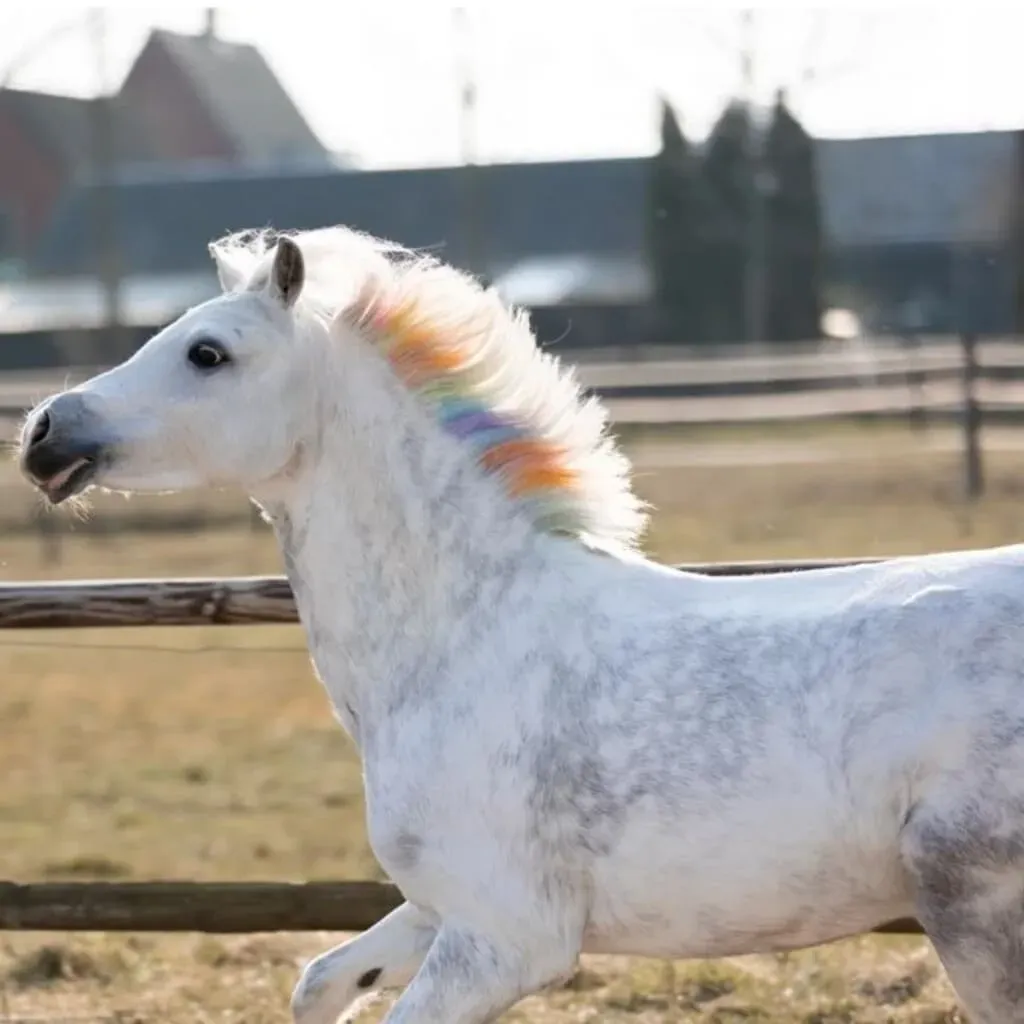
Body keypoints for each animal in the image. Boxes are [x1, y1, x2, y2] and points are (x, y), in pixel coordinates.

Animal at [17, 226, 1024, 1024]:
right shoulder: (441, 906)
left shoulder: (509, 939)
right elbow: (319, 981)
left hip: (970, 911)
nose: (42, 433)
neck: (464, 641)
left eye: (208, 353)